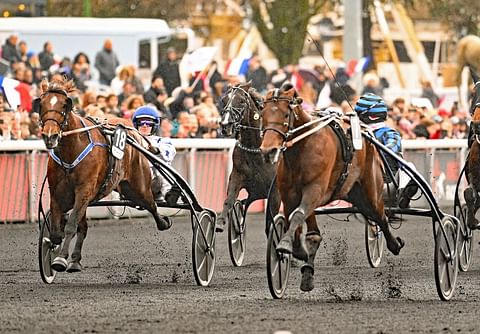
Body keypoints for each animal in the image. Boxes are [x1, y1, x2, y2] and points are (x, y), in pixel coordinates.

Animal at [35, 78, 169, 274]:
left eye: (65, 105)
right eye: (41, 104)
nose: (50, 136)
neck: (71, 150)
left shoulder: (84, 190)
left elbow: (71, 226)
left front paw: (60, 258)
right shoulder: (58, 193)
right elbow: (57, 231)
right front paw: (58, 252)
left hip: (138, 187)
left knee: (151, 205)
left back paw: (164, 222)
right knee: (83, 227)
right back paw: (75, 261)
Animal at [218, 81, 282, 234]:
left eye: (241, 101)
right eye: (223, 100)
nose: (225, 125)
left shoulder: (275, 192)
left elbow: (273, 222)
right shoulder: (237, 176)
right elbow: (229, 200)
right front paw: (220, 222)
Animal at [258, 84, 404, 292]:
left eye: (286, 114)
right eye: (262, 114)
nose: (268, 151)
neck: (303, 148)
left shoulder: (315, 189)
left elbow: (298, 216)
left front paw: (285, 244)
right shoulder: (290, 194)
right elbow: (297, 222)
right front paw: (298, 252)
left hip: (371, 193)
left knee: (381, 217)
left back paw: (394, 244)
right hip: (355, 195)